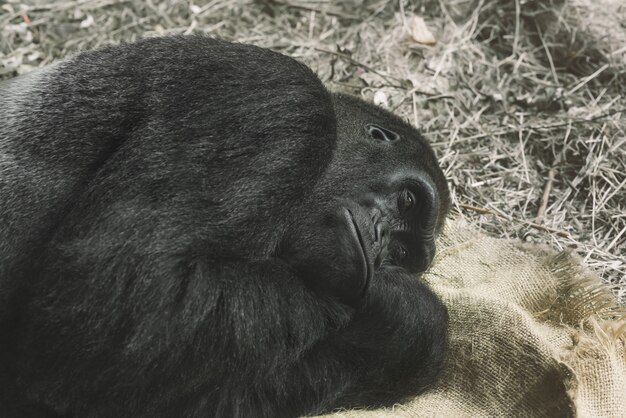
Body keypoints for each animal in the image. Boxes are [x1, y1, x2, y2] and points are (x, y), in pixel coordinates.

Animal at [0, 36, 448, 418]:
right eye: (408, 201)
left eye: (401, 253)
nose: (379, 244)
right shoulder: (278, 102)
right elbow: (123, 293)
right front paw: (403, 304)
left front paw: (402, 329)